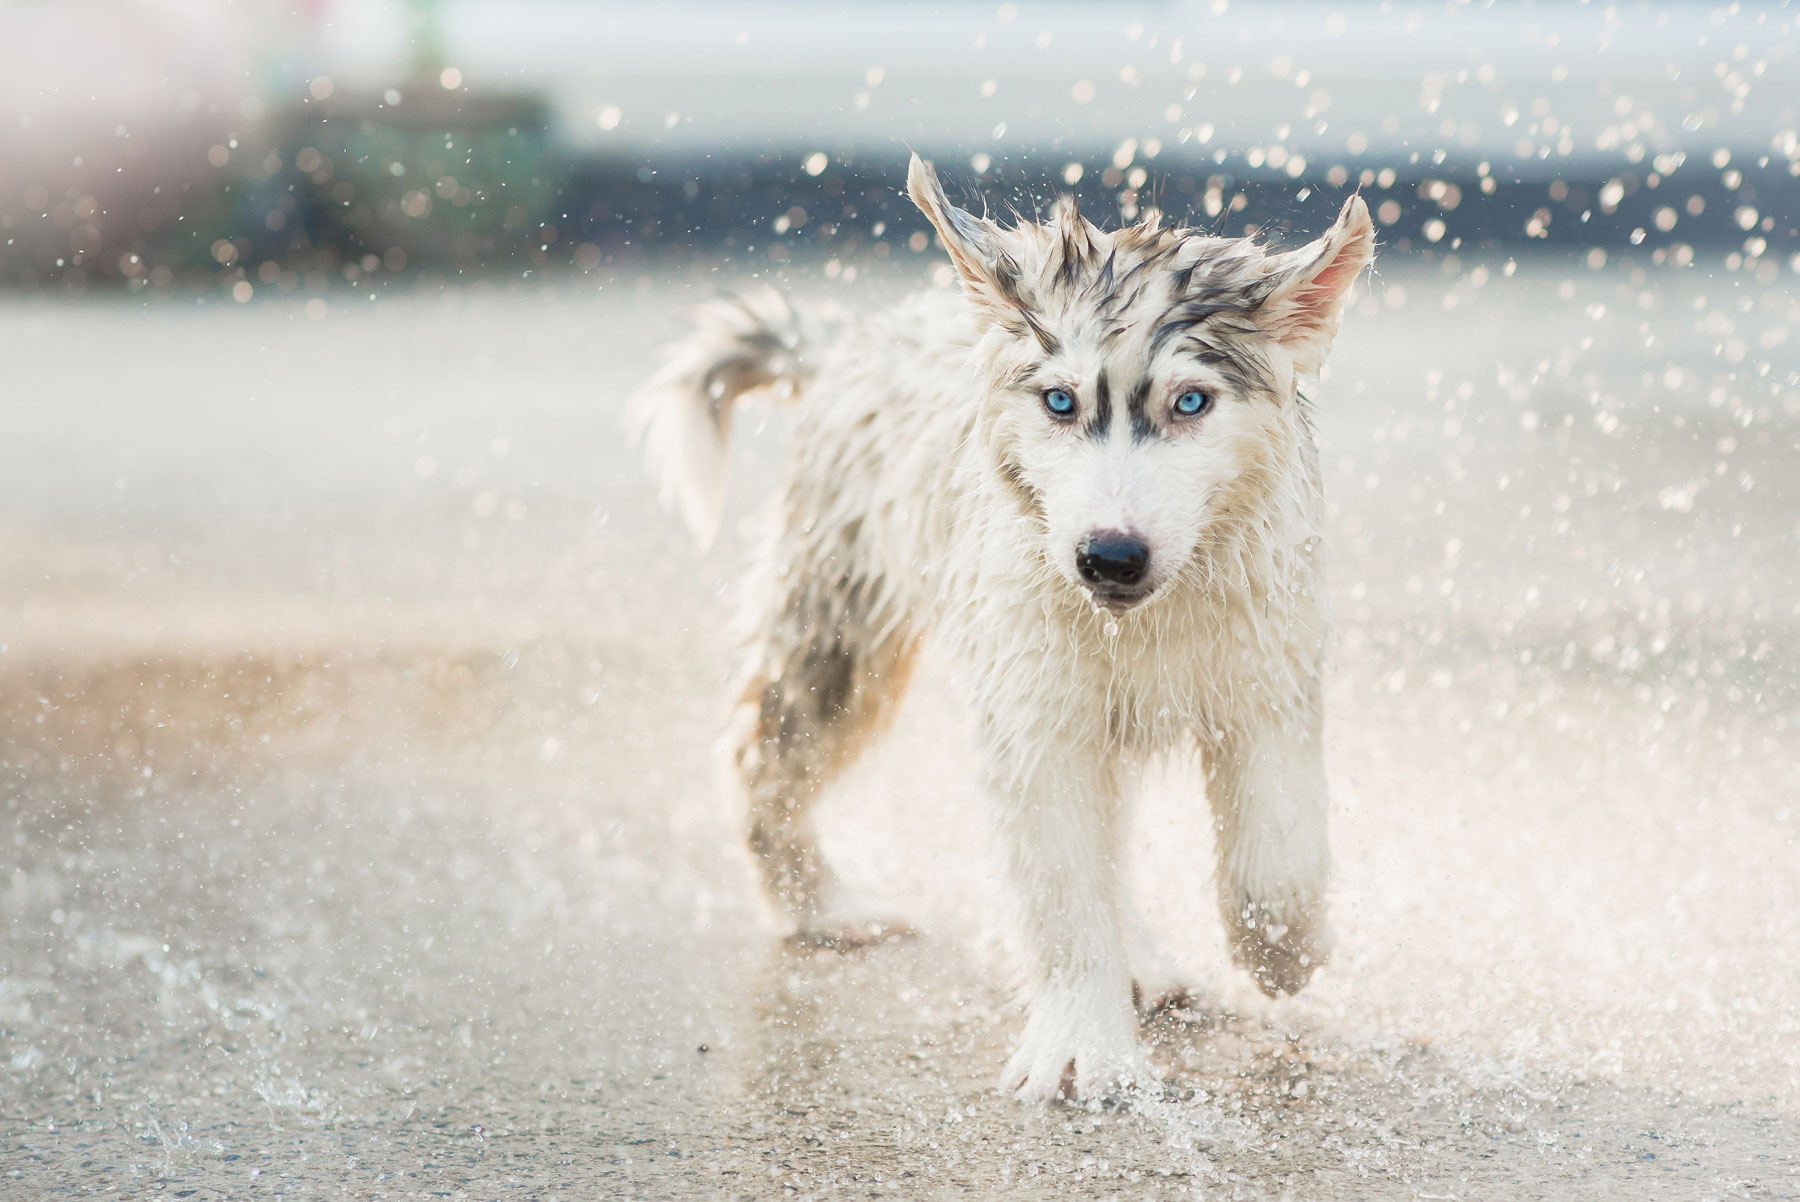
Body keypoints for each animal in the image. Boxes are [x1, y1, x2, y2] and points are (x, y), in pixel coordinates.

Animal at [633, 154, 1375, 1101]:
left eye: (1192, 403)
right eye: (1059, 402)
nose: (1109, 556)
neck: (1144, 619)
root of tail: (853, 344)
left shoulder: (1267, 675)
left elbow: (1277, 858)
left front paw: (1283, 954)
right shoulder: (1033, 714)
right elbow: (1060, 886)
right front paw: (1084, 1045)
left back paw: (1138, 954)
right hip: (842, 632)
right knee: (766, 758)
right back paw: (822, 908)